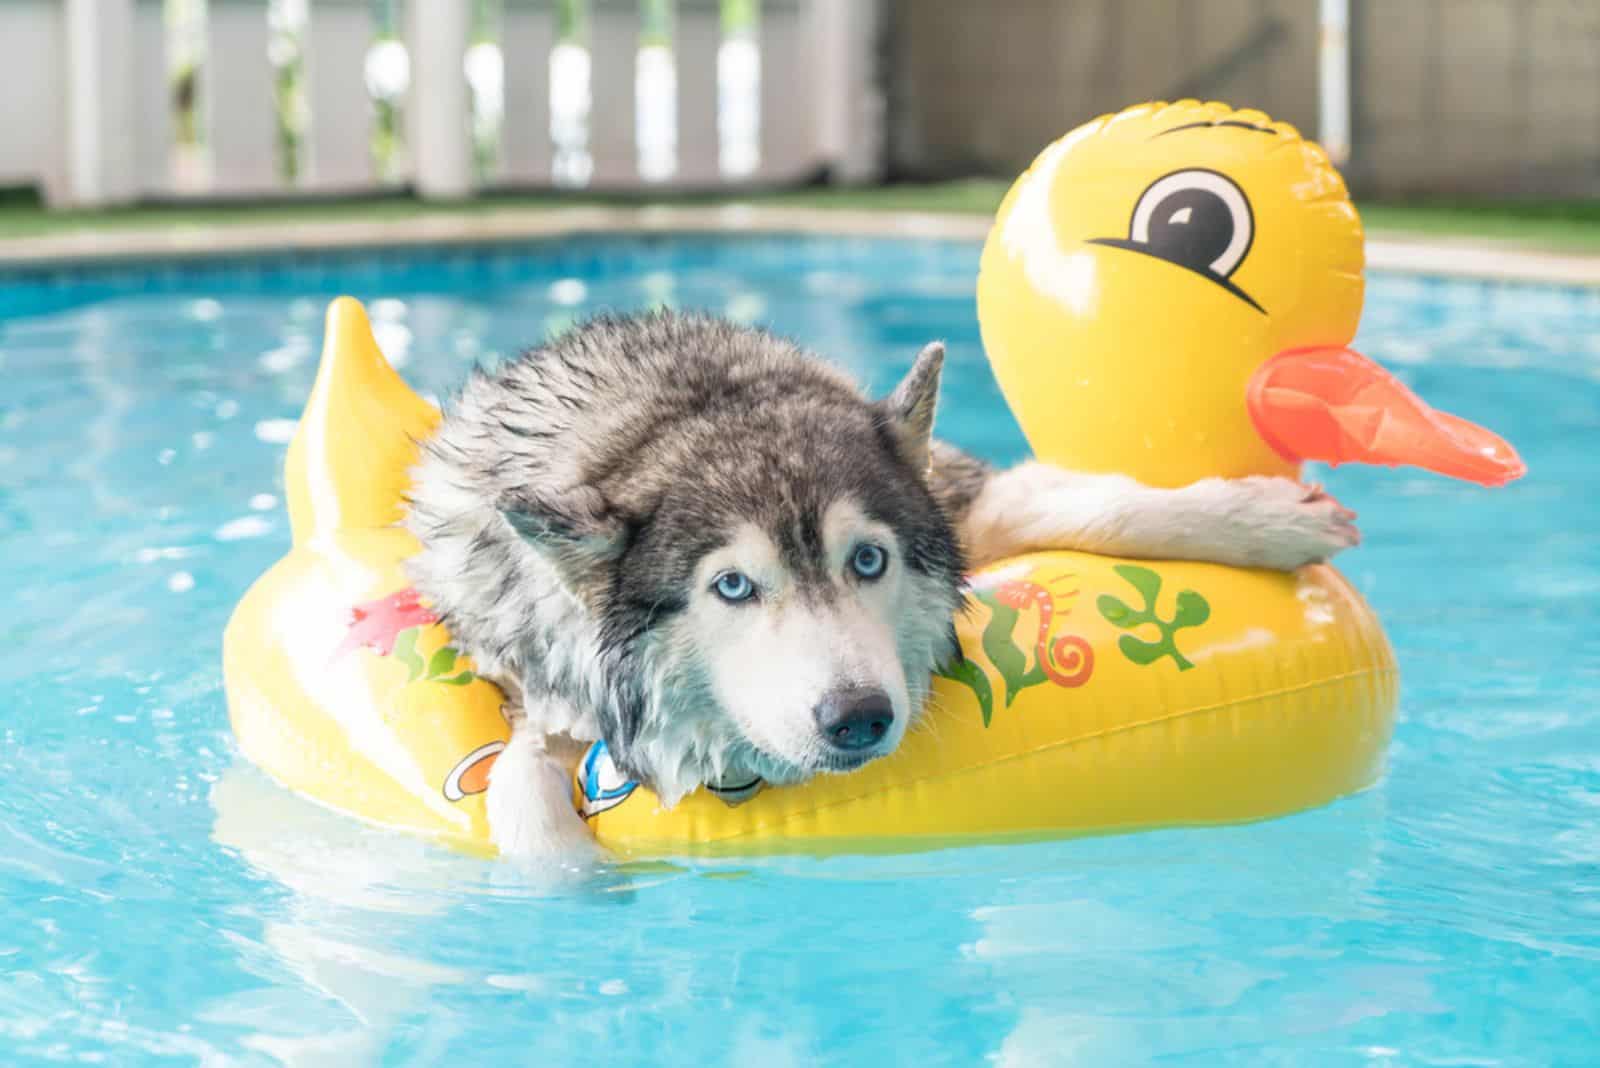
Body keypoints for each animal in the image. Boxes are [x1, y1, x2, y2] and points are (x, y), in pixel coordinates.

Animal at [400, 308, 1350, 856]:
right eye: (733, 588)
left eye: (868, 561)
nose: (857, 717)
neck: (674, 411)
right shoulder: (539, 691)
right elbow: (522, 787)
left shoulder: (965, 500)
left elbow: (1094, 503)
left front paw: (1268, 519)